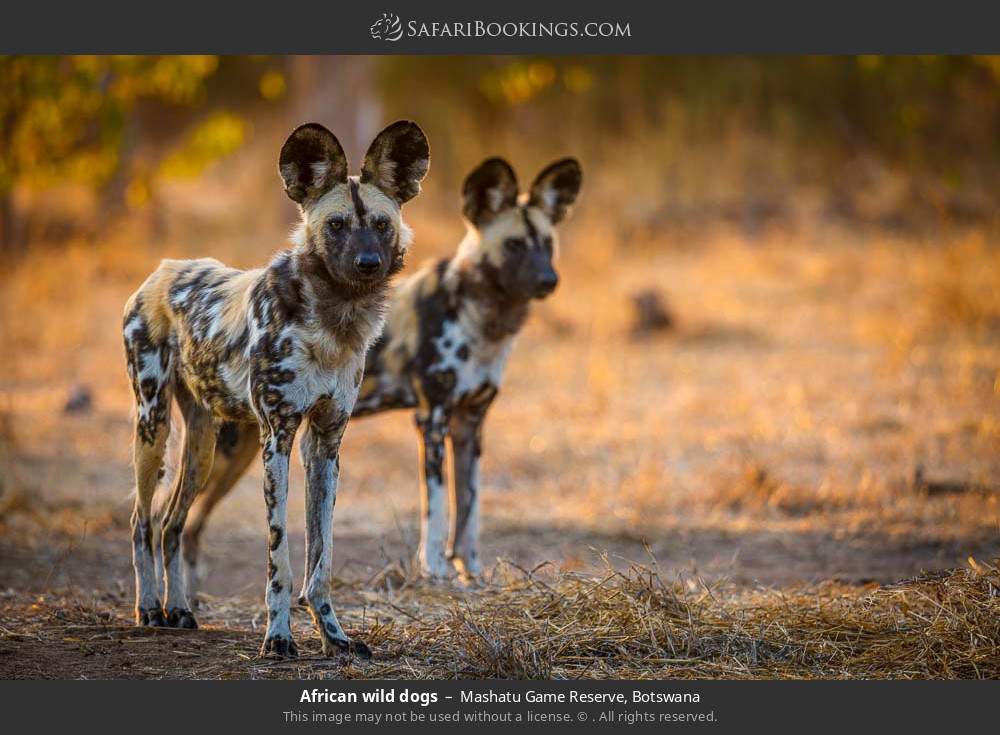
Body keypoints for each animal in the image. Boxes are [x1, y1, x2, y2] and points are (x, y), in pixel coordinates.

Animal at [122, 121, 430, 660]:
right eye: (336, 225)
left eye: (380, 224)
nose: (367, 263)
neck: (333, 321)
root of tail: (162, 269)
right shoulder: (278, 439)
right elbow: (280, 557)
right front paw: (279, 636)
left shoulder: (325, 443)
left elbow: (321, 559)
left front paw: (334, 636)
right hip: (153, 426)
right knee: (142, 519)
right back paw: (148, 610)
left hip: (203, 448)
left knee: (170, 523)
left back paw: (179, 609)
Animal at [180, 157, 584, 592]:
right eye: (513, 245)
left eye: (547, 244)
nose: (549, 281)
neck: (480, 319)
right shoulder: (432, 419)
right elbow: (436, 510)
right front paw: (436, 572)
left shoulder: (470, 424)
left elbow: (469, 509)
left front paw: (472, 572)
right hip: (228, 452)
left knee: (188, 526)